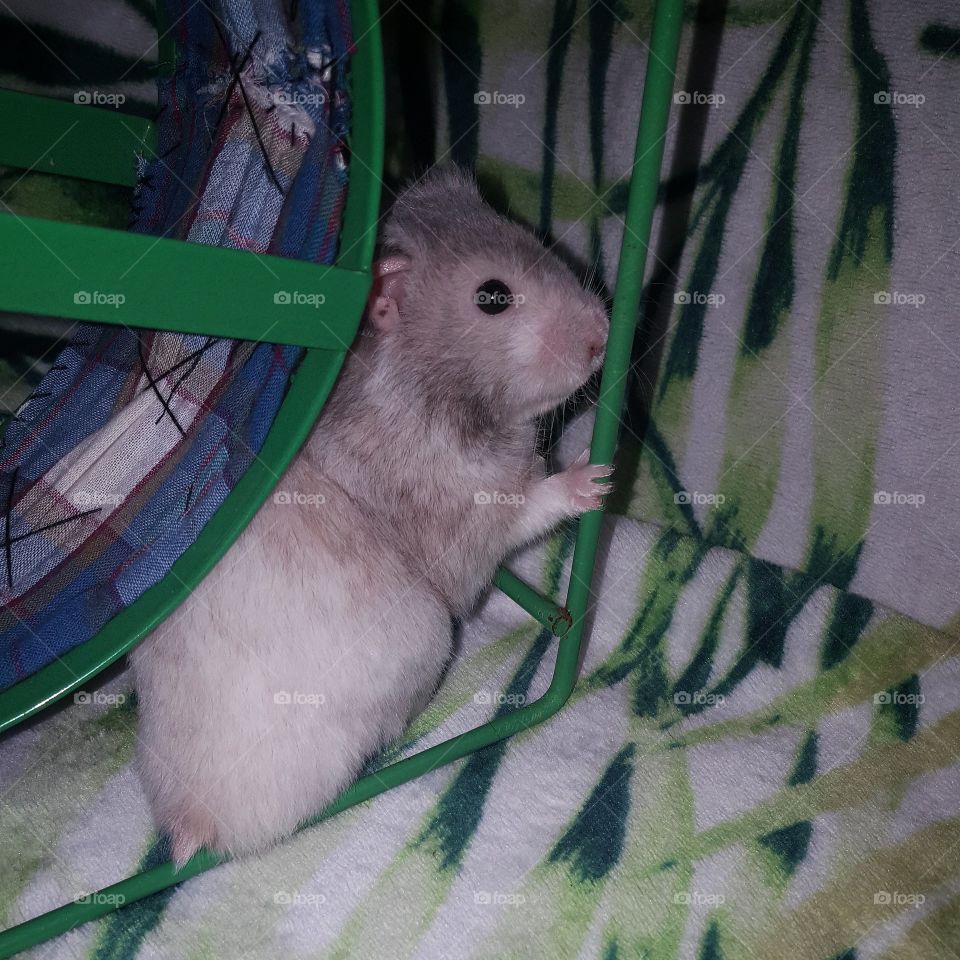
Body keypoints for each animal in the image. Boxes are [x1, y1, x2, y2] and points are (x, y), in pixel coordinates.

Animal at [131, 167, 612, 861]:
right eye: (492, 296)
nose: (605, 332)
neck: (430, 386)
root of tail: (189, 818)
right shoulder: (466, 512)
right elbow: (529, 505)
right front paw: (597, 478)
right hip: (424, 641)